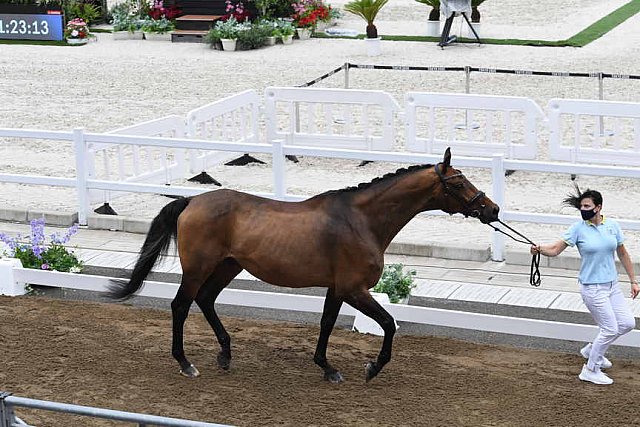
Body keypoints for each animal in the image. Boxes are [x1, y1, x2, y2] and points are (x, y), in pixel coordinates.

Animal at [109, 148, 500, 384]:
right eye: (459, 182)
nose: (492, 209)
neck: (361, 220)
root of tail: (191, 201)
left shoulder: (338, 288)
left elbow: (327, 323)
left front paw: (326, 367)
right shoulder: (354, 289)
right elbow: (389, 323)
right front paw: (372, 367)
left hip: (228, 267)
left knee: (205, 301)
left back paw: (225, 355)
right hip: (198, 268)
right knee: (181, 305)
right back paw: (186, 363)